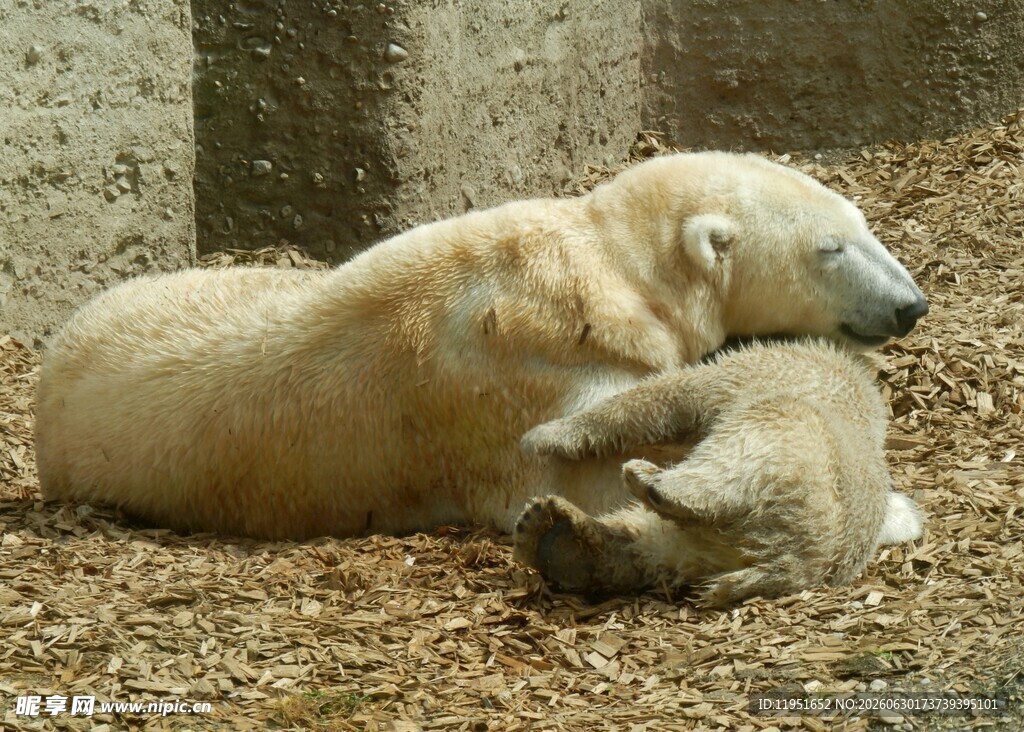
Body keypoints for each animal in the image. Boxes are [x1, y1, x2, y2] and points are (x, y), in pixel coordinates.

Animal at [34, 152, 928, 540]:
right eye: (830, 249)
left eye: (864, 222)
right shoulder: (516, 382)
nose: (910, 304)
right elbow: (581, 467)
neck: (608, 269)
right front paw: (896, 511)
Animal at [513, 337, 925, 606]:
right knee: (654, 541)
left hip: (802, 463)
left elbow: (659, 400)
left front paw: (544, 435)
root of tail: (801, 562)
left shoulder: (746, 371)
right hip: (714, 546)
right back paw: (555, 538)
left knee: (738, 456)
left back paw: (652, 483)